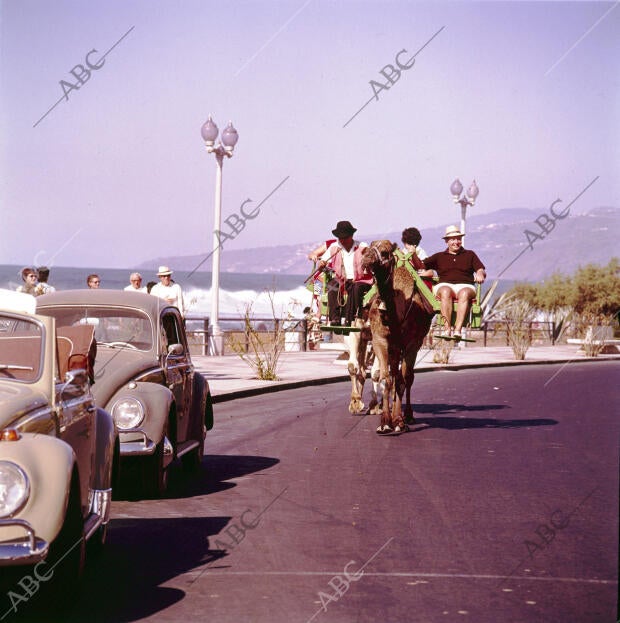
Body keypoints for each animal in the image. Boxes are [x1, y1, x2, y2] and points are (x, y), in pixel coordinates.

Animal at [360, 239, 434, 434]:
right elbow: (386, 378)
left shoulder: (412, 343)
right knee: (394, 375)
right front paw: (385, 422)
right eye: (369, 248)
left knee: (407, 377)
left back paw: (407, 415)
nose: (365, 258)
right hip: (393, 347)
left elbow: (404, 379)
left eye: (385, 252)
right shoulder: (380, 340)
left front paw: (399, 421)